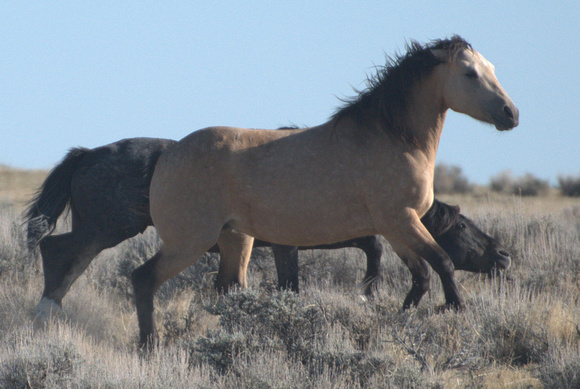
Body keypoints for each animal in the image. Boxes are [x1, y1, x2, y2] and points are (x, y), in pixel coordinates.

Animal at [24, 136, 510, 316]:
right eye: (461, 225)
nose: (503, 256)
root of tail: (87, 154)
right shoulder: (285, 244)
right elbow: (356, 253)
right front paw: (367, 292)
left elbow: (369, 245)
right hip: (107, 228)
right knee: (57, 250)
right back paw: (47, 309)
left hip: (101, 229)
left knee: (60, 252)